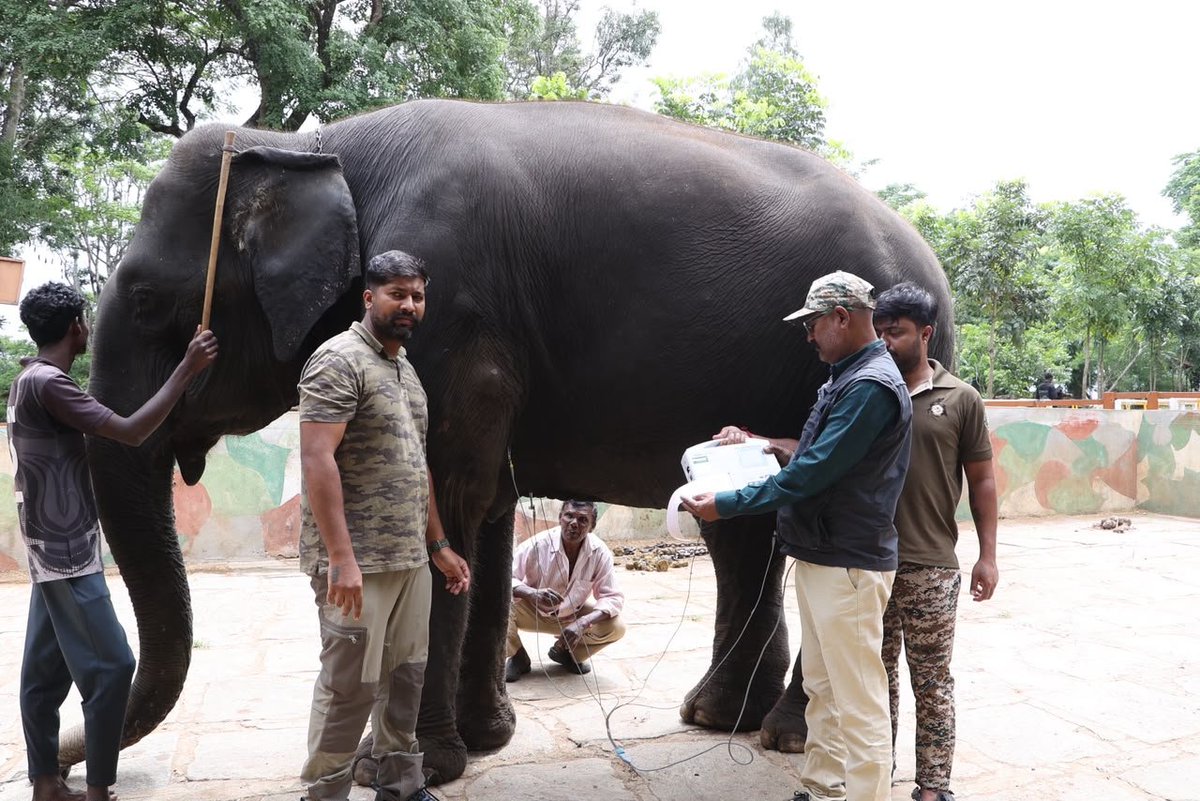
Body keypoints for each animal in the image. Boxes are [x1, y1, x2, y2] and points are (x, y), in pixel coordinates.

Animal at [72, 99, 952, 783]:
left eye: (145, 299)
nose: (81, 764)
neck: (311, 147)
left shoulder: (455, 315)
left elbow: (449, 487)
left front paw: (408, 768)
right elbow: (484, 502)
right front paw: (485, 741)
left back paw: (796, 735)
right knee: (745, 530)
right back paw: (717, 718)